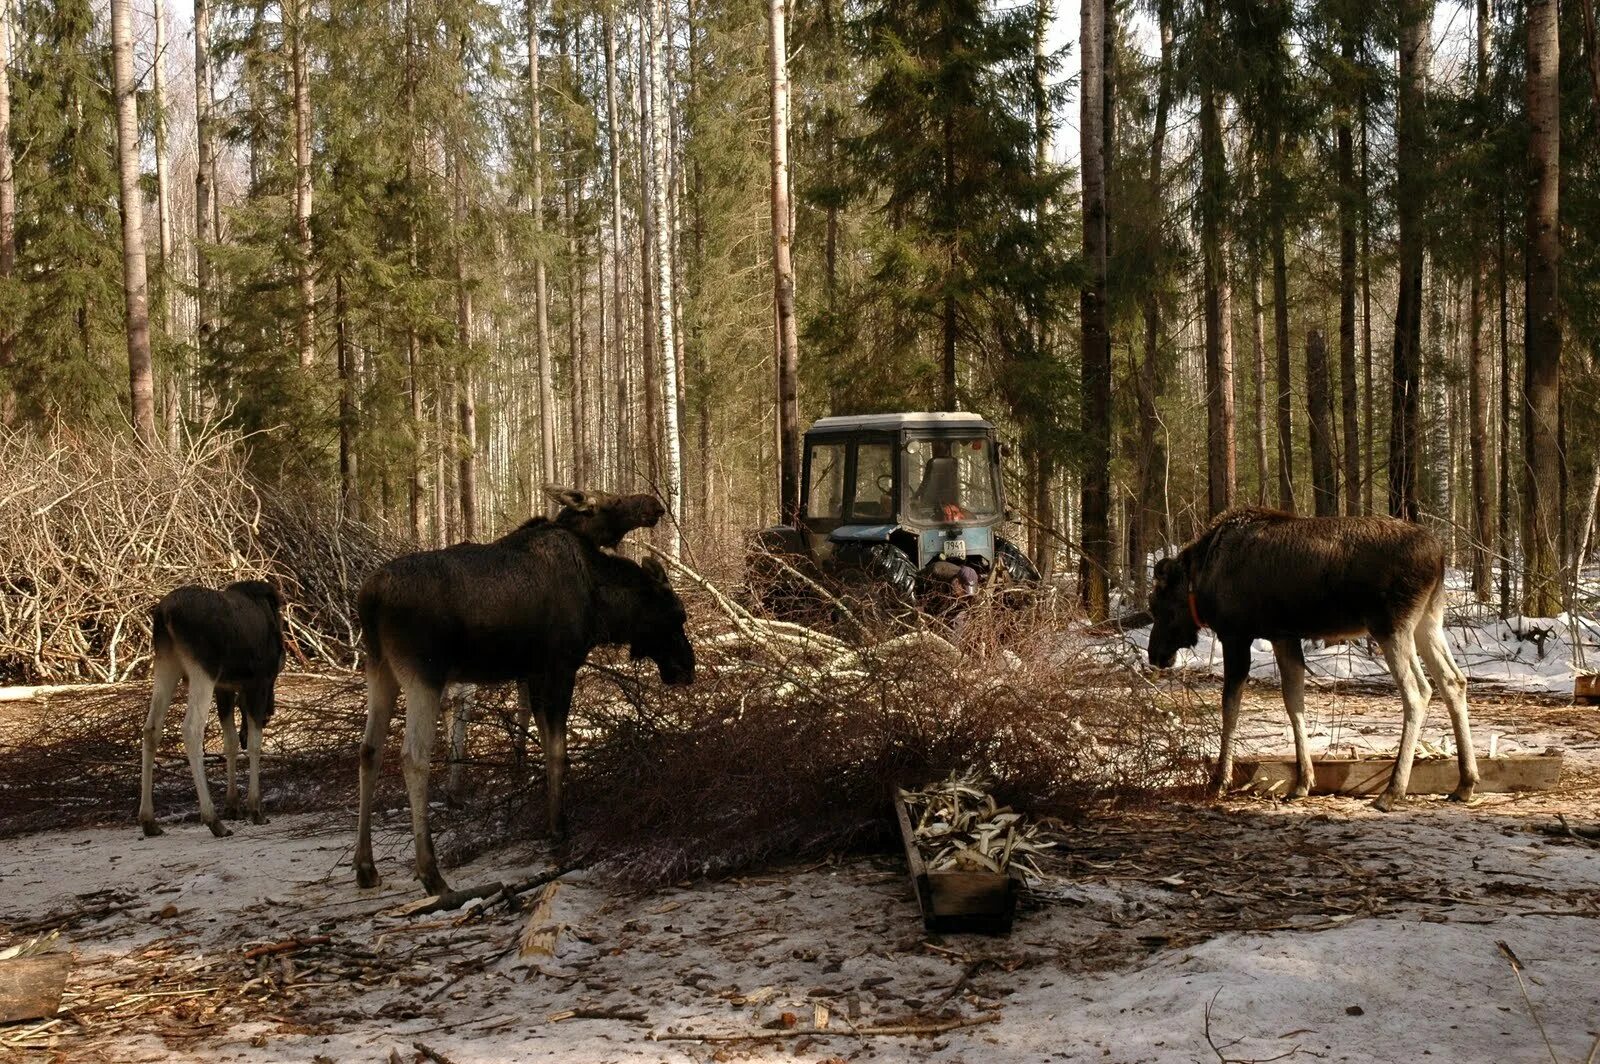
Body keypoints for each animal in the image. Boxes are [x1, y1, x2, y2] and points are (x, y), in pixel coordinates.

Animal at [138, 582, 288, 838]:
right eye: (277, 671)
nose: (270, 712)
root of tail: (164, 615)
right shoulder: (257, 683)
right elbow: (255, 745)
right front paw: (255, 809)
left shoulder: (224, 688)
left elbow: (231, 742)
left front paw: (233, 806)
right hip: (203, 670)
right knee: (191, 729)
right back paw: (213, 819)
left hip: (166, 663)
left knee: (151, 729)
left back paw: (149, 820)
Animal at [356, 492, 694, 889]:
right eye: (676, 615)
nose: (688, 667)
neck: (602, 603)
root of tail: (369, 598)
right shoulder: (560, 665)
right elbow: (558, 752)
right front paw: (558, 828)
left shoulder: (533, 674)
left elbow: (544, 745)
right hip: (423, 674)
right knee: (413, 756)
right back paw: (431, 872)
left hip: (379, 668)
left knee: (369, 750)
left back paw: (365, 866)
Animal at [1152, 505, 1472, 806]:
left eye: (1159, 606)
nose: (1155, 653)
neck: (1200, 580)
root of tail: (1440, 557)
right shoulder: (1283, 635)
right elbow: (1294, 701)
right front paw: (1303, 781)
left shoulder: (1236, 634)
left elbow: (1230, 706)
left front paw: (1220, 780)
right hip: (1428, 619)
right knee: (1453, 680)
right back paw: (1465, 783)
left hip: (1390, 625)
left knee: (1418, 691)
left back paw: (1393, 790)